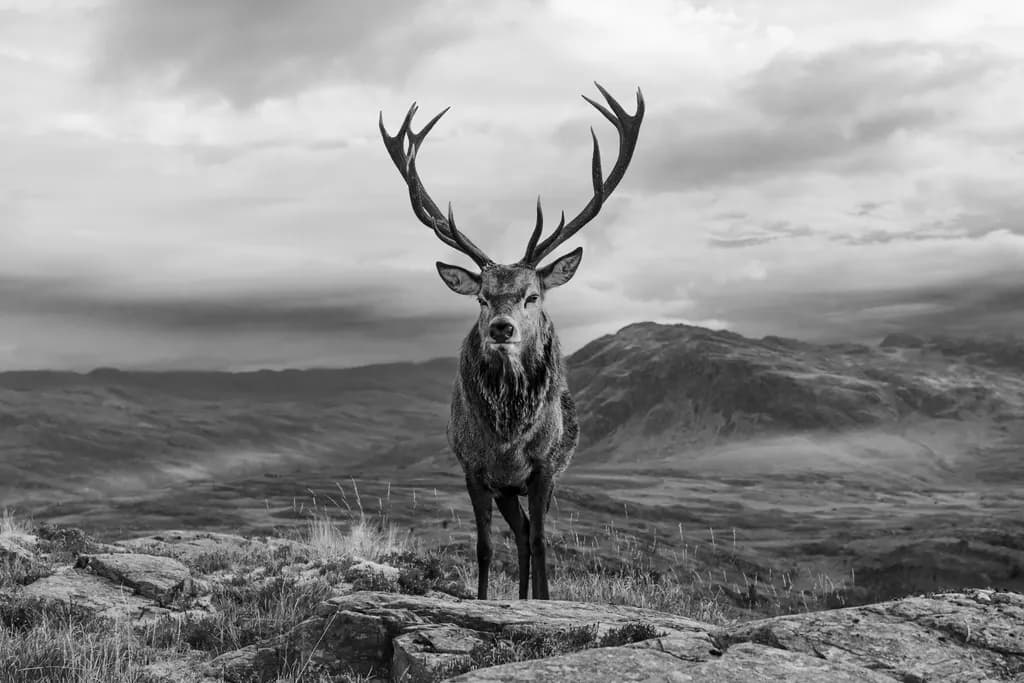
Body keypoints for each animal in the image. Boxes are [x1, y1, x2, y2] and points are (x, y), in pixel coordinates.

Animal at [379, 83, 644, 600]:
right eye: (481, 298)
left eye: (532, 295)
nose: (501, 328)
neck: (507, 436)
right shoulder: (474, 469)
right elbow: (484, 547)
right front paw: (486, 601)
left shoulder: (543, 467)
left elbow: (543, 543)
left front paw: (544, 602)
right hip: (504, 489)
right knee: (517, 533)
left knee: (528, 535)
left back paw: (530, 596)